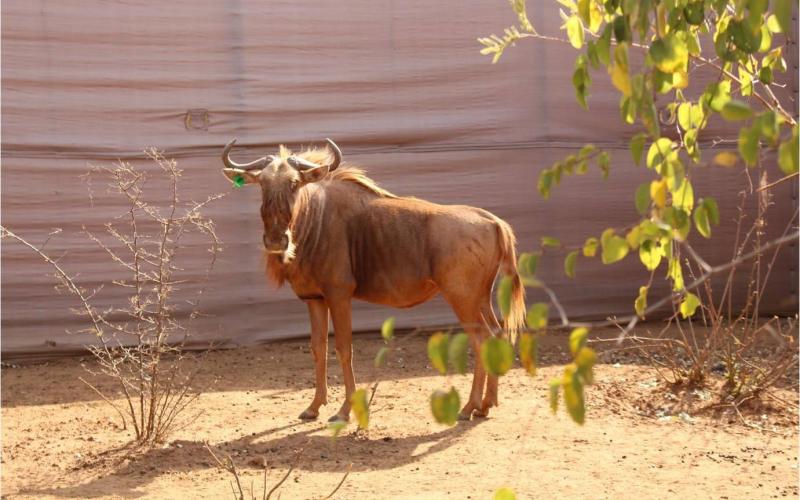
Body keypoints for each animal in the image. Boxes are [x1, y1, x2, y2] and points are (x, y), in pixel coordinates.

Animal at [222, 139, 525, 422]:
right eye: (262, 183)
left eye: (294, 182)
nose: (275, 241)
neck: (314, 220)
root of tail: (493, 222)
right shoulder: (315, 300)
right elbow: (318, 348)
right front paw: (314, 407)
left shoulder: (339, 296)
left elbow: (344, 349)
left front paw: (344, 411)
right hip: (480, 298)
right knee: (497, 334)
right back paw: (486, 405)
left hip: (462, 299)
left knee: (482, 339)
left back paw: (469, 406)